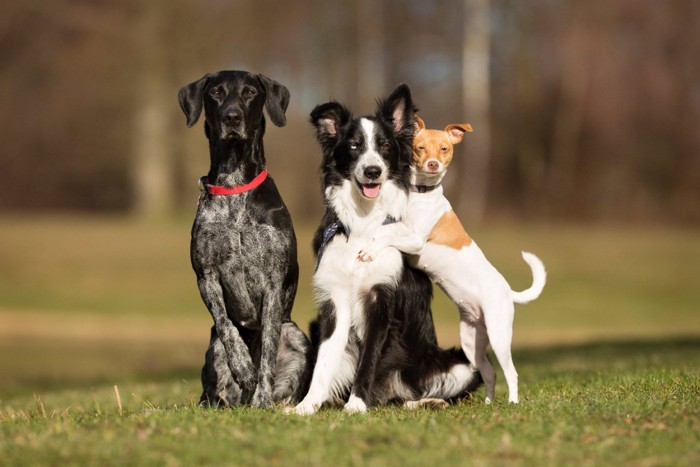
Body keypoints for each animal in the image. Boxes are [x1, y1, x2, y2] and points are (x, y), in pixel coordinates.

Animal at [179, 71, 310, 408]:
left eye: (250, 92)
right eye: (215, 92)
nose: (232, 117)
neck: (235, 187)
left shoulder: (273, 282)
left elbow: (266, 352)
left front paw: (261, 398)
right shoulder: (207, 276)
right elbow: (227, 327)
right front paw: (242, 366)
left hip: (296, 335)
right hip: (212, 353)